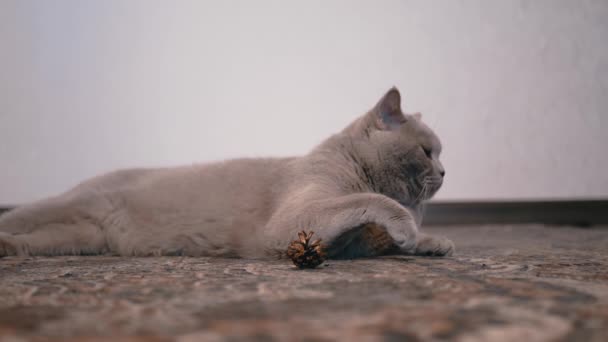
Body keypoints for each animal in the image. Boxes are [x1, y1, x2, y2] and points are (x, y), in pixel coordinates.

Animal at [0, 88, 454, 260]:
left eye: (438, 154)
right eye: (426, 151)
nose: (445, 171)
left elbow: (380, 236)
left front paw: (432, 242)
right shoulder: (294, 220)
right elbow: (370, 202)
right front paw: (407, 228)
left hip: (78, 239)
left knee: (35, 242)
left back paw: (8, 250)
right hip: (66, 206)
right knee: (18, 216)